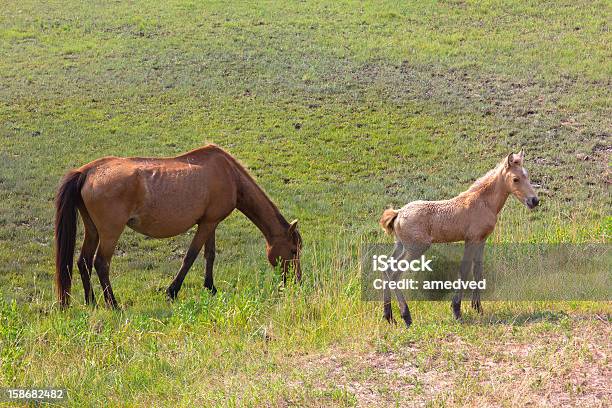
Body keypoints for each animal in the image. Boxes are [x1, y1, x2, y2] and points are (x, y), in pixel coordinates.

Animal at [54, 143, 302, 306]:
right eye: (293, 250)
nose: (296, 282)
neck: (229, 174)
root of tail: (87, 171)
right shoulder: (207, 224)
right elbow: (190, 256)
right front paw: (172, 291)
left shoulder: (210, 222)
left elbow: (210, 255)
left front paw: (210, 288)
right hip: (110, 232)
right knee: (101, 263)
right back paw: (112, 304)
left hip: (93, 230)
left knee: (83, 261)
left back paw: (92, 302)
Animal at [380, 151, 536, 328]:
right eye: (515, 179)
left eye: (527, 175)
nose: (534, 201)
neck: (483, 202)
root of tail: (398, 213)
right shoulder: (471, 240)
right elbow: (464, 270)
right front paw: (456, 310)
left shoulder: (481, 240)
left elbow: (477, 271)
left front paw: (478, 308)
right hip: (416, 248)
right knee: (395, 275)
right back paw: (406, 317)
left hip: (400, 246)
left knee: (386, 269)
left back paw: (389, 316)